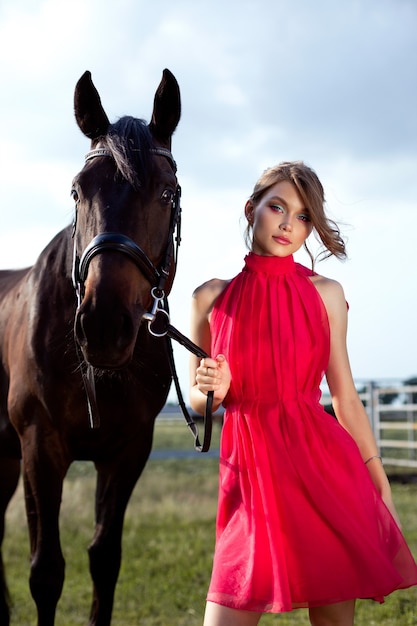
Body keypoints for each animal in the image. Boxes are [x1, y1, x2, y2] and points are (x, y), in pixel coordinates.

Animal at [0, 69, 181, 624]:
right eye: (78, 190)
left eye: (167, 193)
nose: (102, 326)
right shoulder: (40, 448)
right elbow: (45, 571)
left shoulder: (128, 451)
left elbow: (104, 559)